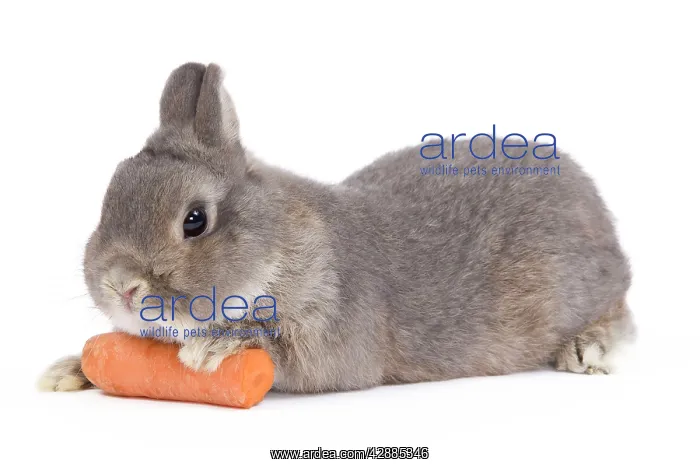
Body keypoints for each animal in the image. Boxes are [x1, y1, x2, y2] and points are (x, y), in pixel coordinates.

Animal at [39, 62, 634, 394]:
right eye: (109, 197)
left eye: (195, 220)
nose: (121, 285)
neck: (277, 246)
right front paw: (69, 371)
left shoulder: (332, 338)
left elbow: (280, 355)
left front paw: (216, 348)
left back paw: (586, 351)